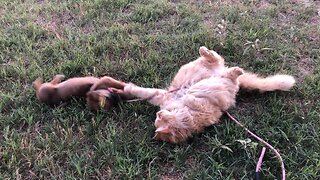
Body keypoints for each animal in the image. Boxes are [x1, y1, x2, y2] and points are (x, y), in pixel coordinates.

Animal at [124, 46, 296, 143]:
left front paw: (126, 88)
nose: (158, 114)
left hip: (210, 66)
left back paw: (207, 52)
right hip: (219, 72)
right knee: (223, 66)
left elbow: (146, 93)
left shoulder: (165, 97)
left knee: (216, 58)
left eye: (158, 119)